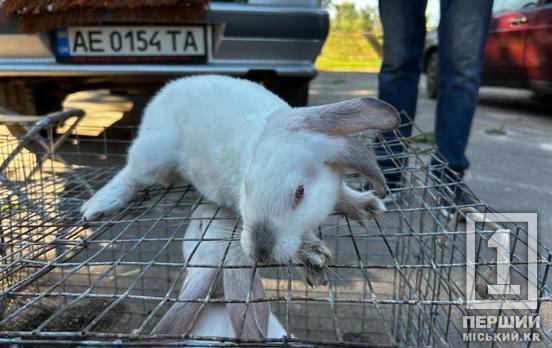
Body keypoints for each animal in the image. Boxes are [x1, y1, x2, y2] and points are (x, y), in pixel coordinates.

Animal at [81, 75, 396, 284]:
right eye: (247, 185)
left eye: (300, 192)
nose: (261, 252)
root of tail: (164, 92)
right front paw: (313, 256)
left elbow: (340, 193)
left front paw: (365, 205)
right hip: (154, 155)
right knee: (131, 173)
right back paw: (98, 205)